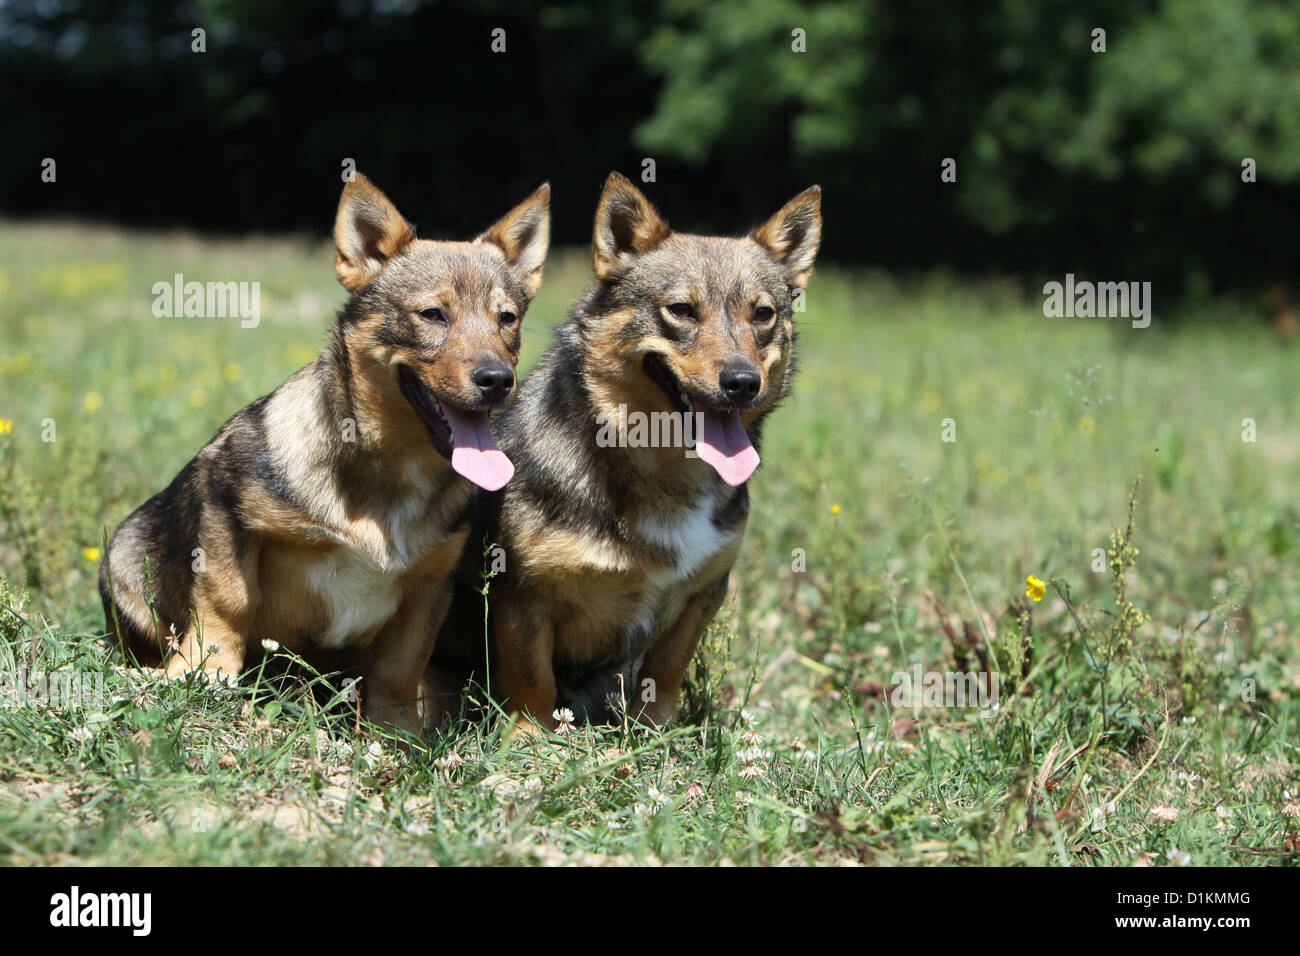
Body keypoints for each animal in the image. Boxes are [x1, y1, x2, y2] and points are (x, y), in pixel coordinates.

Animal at [100, 175, 548, 738]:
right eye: (432, 314)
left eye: (507, 319)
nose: (498, 380)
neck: (390, 473)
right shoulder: (223, 495)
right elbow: (227, 599)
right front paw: (206, 671)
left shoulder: (430, 584)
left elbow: (402, 665)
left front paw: (396, 732)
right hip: (123, 554)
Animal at [428, 171, 821, 733]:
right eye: (681, 311)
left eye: (763, 314)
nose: (744, 382)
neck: (662, 467)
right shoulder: (523, 591)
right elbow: (532, 677)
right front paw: (531, 738)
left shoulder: (702, 594)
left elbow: (666, 670)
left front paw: (658, 734)